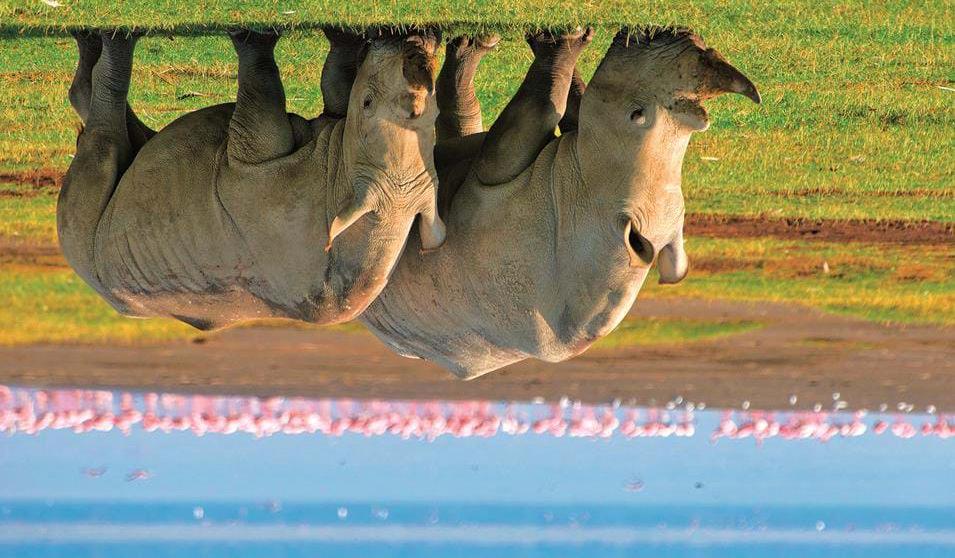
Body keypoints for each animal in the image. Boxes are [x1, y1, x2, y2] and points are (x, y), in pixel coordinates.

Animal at [58, 27, 446, 332]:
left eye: (367, 102)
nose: (416, 45)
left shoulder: (257, 166)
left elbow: (262, 86)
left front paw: (251, 37)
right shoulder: (331, 136)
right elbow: (336, 80)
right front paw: (344, 37)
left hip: (99, 260)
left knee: (103, 154)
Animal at [362, 28, 764, 382]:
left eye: (635, 115)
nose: (669, 33)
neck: (586, 202)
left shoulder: (501, 193)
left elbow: (540, 107)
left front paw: (559, 42)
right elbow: (570, 107)